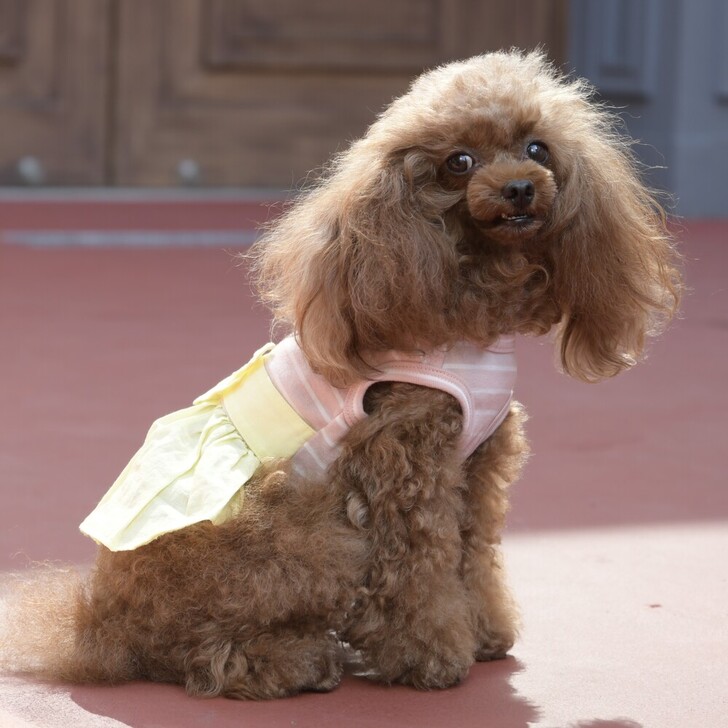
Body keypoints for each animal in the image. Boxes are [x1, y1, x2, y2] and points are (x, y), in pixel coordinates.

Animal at [1, 50, 681, 699]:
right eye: (458, 161)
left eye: (537, 148)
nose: (518, 187)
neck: (466, 311)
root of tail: (98, 623)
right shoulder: (404, 465)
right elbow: (420, 572)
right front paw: (432, 659)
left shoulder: (478, 462)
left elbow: (473, 554)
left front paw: (483, 633)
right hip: (306, 536)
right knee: (200, 655)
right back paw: (301, 662)